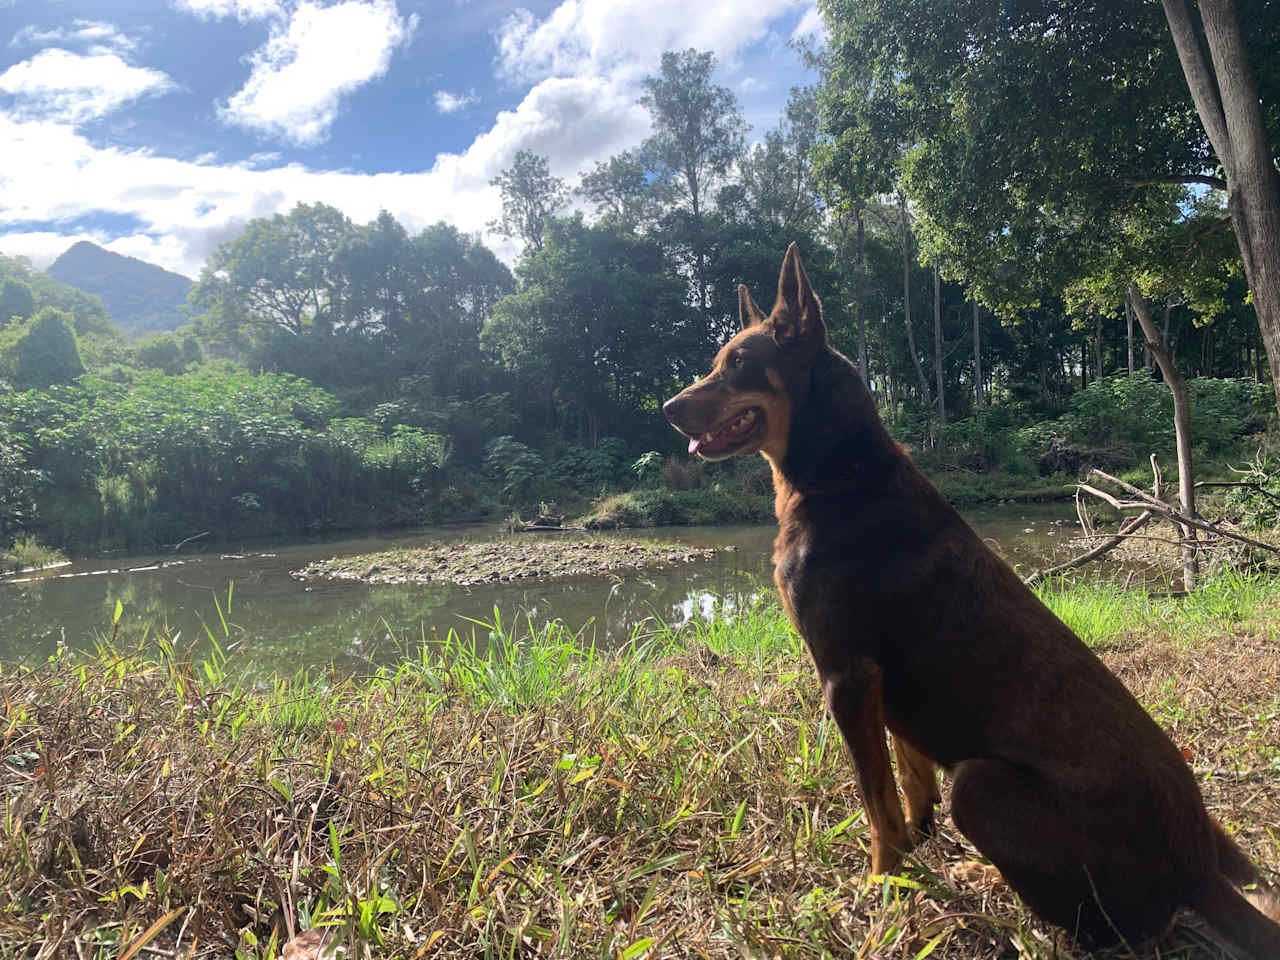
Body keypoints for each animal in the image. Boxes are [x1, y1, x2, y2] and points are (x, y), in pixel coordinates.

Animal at [660, 245, 1280, 957]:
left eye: (737, 363)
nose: (668, 408)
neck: (838, 474)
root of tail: (1196, 872)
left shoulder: (847, 676)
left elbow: (877, 802)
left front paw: (879, 887)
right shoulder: (884, 691)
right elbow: (908, 784)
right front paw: (917, 856)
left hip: (983, 787)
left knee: (1117, 926)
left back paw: (996, 883)